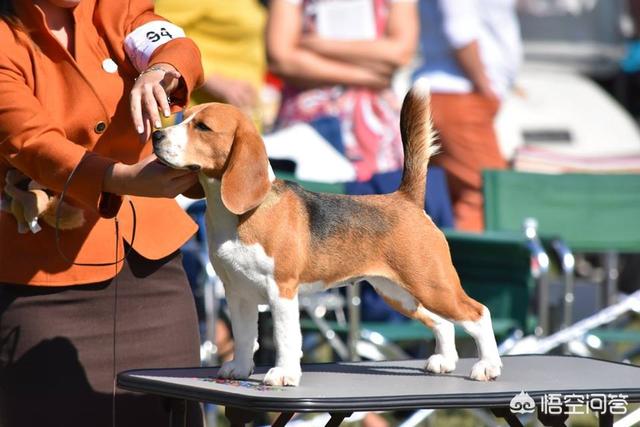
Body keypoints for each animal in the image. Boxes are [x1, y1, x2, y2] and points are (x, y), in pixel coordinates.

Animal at [152, 82, 502, 390]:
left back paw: (488, 366)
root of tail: (405, 199)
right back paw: (445, 361)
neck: (240, 214)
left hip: (432, 285)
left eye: (203, 127)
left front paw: (284, 374)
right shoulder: (238, 293)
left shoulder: (281, 291)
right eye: (184, 117)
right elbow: (244, 336)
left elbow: (285, 338)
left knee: (479, 313)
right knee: (443, 322)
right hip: (399, 293)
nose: (155, 135)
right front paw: (239, 368)